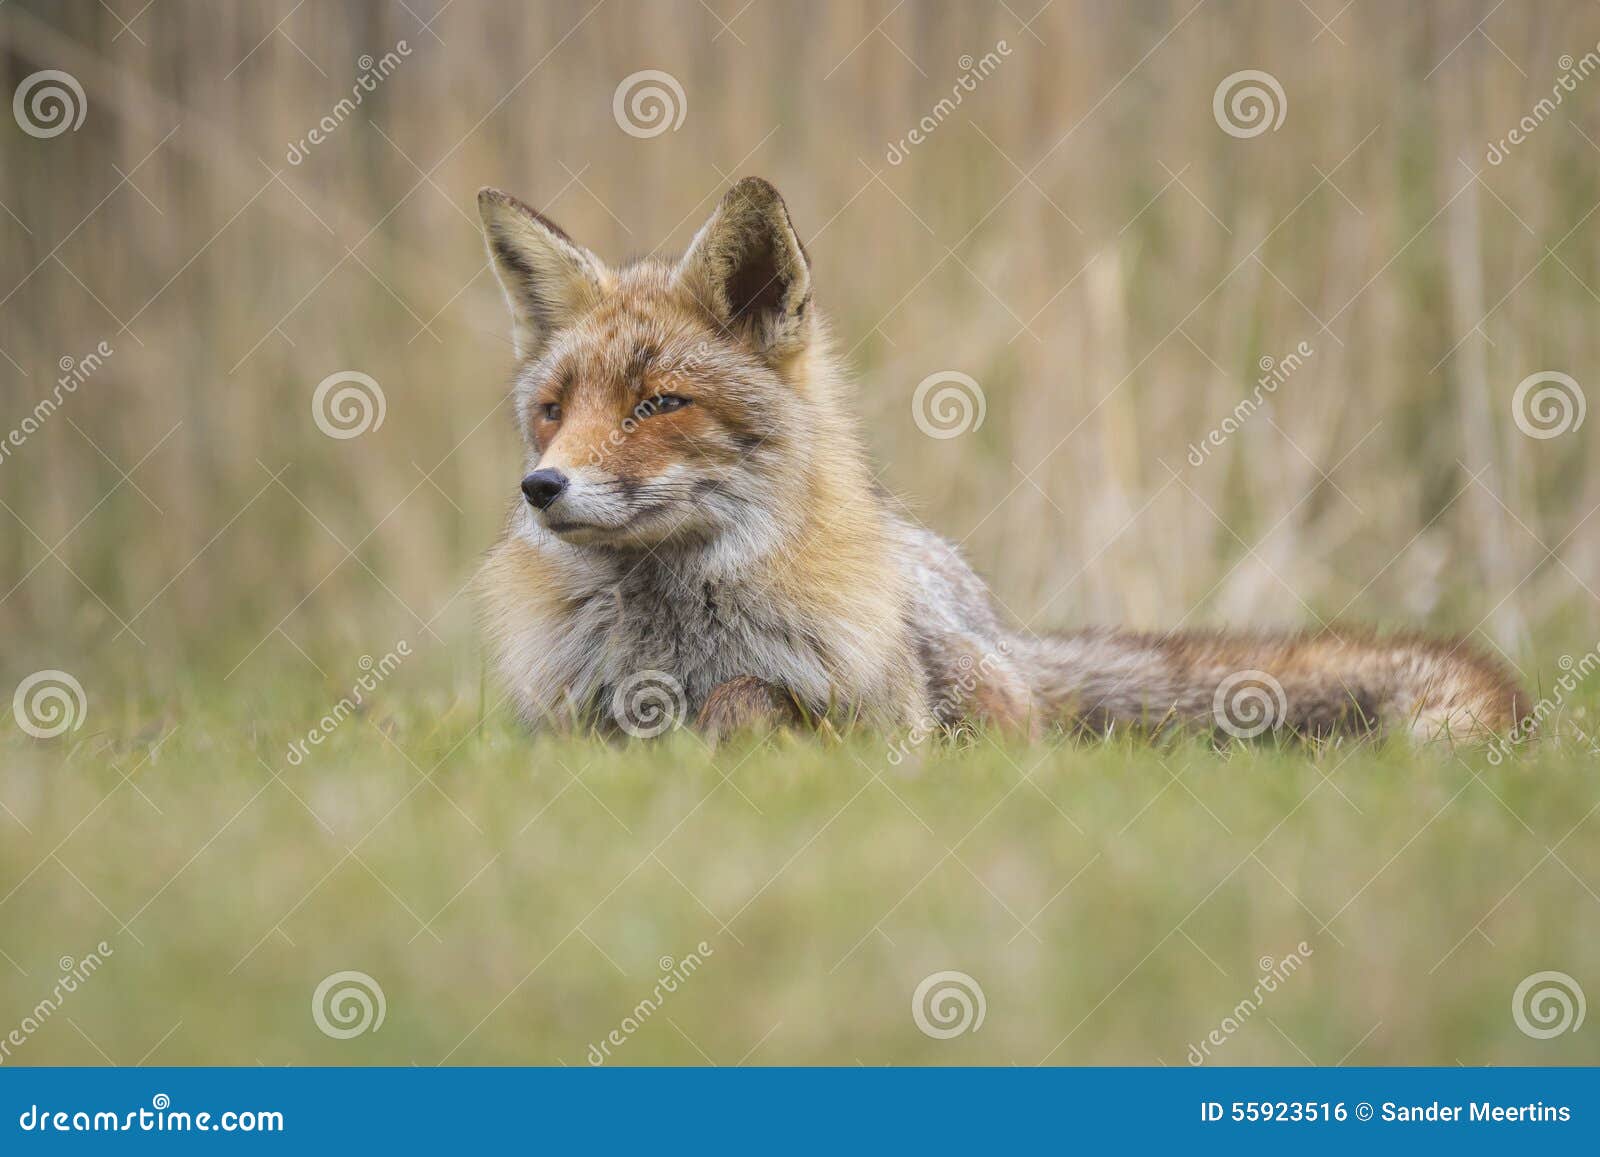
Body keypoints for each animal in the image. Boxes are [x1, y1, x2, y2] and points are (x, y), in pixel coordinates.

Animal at [473, 177, 1523, 745]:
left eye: (657, 405)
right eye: (554, 412)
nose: (541, 487)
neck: (674, 645)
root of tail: (997, 619)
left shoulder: (885, 728)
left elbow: (746, 699)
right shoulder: (561, 732)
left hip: (982, 692)